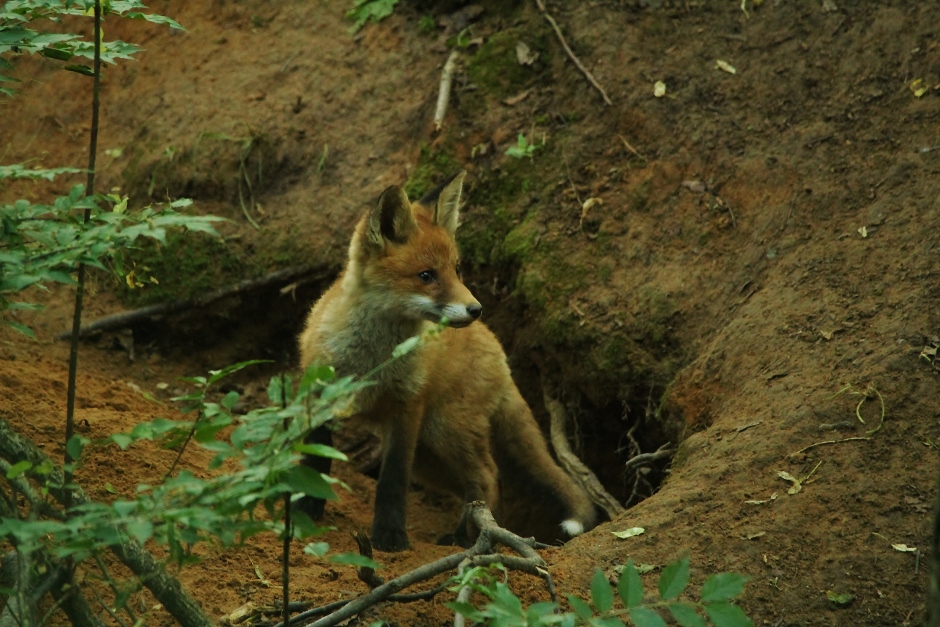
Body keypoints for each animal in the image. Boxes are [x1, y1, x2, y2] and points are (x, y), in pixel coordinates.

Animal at [298, 170, 600, 548]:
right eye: (426, 275)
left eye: (457, 269)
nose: (476, 308)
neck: (374, 359)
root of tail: (499, 350)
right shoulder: (318, 394)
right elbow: (316, 460)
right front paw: (307, 512)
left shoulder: (407, 405)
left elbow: (393, 479)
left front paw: (390, 536)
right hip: (431, 454)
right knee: (479, 485)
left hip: (444, 431)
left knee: (488, 475)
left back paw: (468, 539)